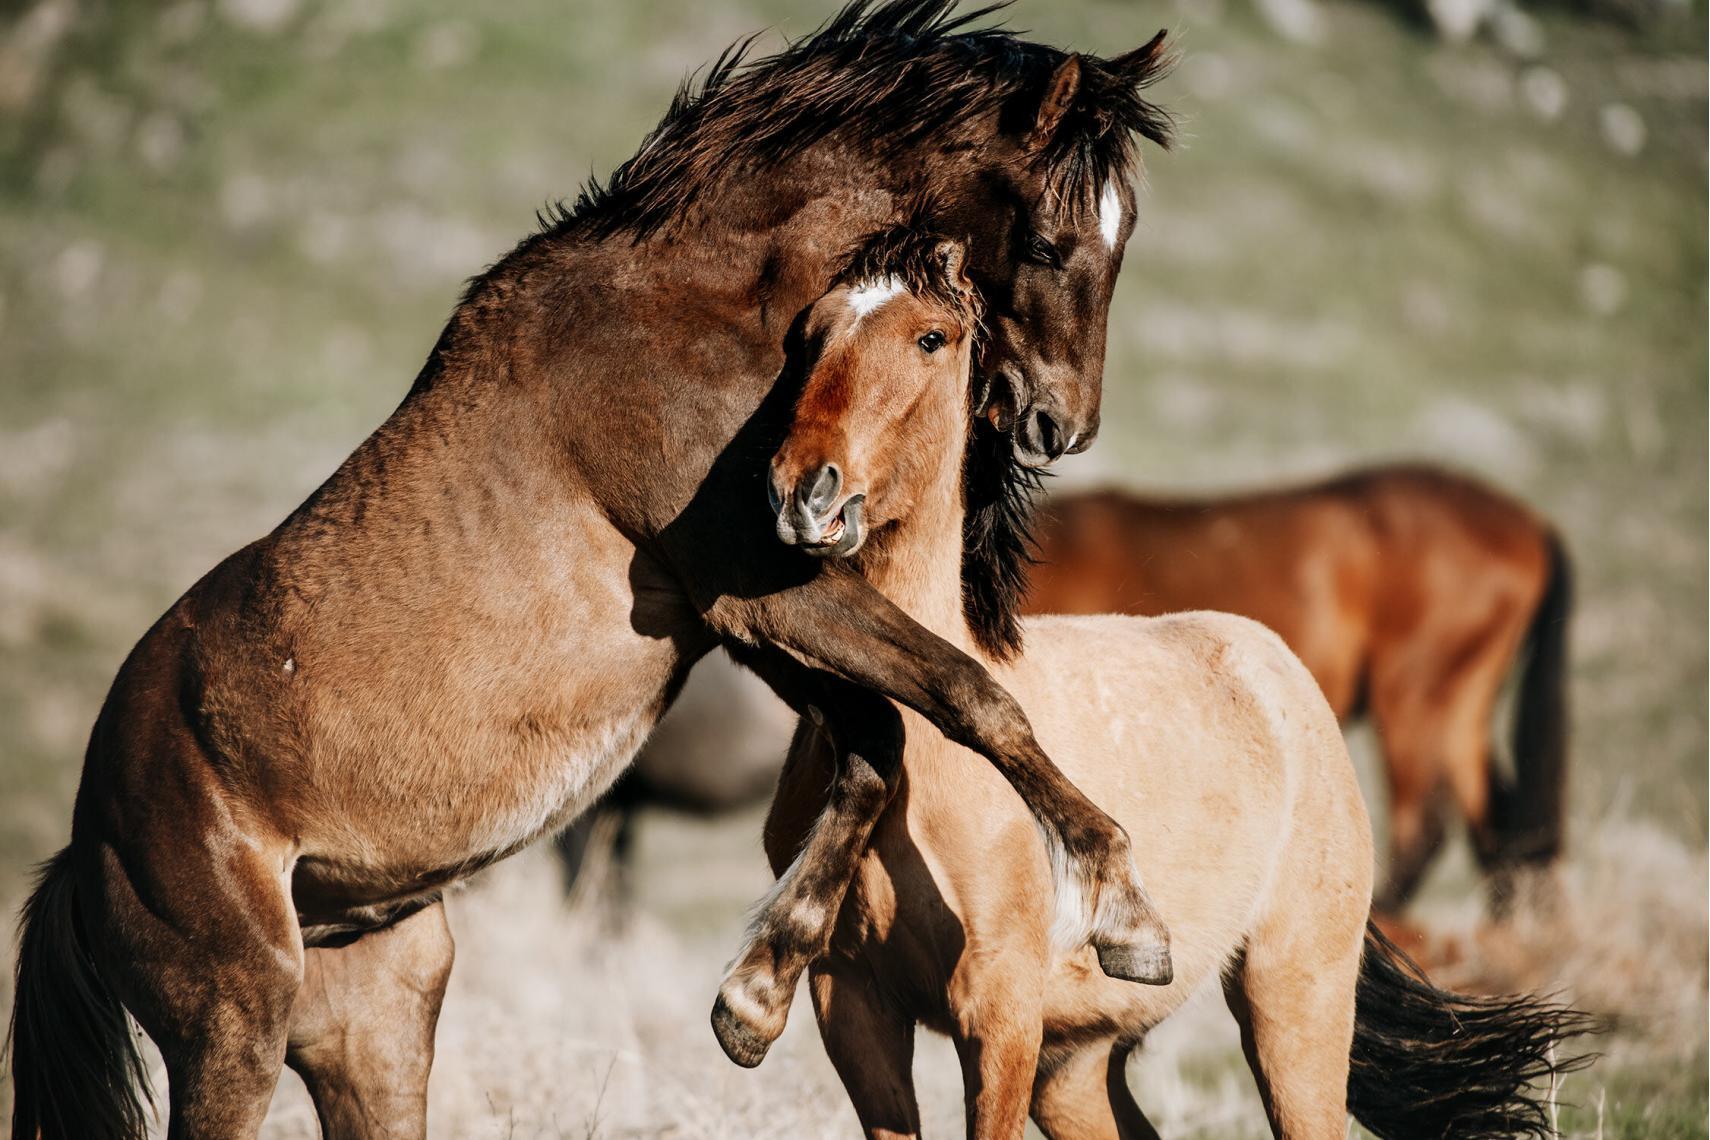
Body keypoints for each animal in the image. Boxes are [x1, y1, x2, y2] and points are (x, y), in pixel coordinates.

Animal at [6, 5, 1183, 1136]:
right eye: (1048, 240)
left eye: (1126, 233)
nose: (1057, 423)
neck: (694, 312)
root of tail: (86, 841)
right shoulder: (762, 583)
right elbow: (971, 696)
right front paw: (1126, 915)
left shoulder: (739, 615)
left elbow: (879, 738)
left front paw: (753, 1000)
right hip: (233, 1026)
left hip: (375, 1015)